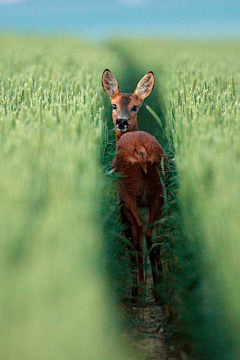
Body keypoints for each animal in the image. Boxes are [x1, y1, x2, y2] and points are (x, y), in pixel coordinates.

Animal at [102, 69, 168, 298]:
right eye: (114, 105)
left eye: (135, 107)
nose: (121, 122)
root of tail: (141, 151)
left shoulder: (122, 207)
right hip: (158, 191)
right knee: (152, 234)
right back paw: (158, 290)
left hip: (126, 192)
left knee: (138, 235)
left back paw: (137, 291)